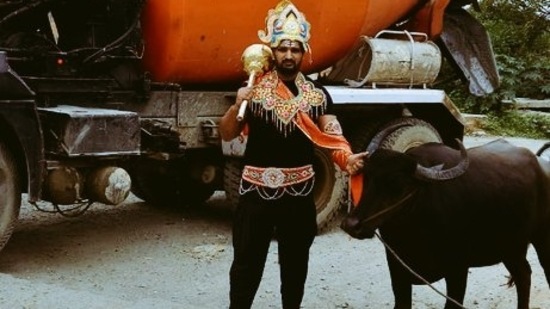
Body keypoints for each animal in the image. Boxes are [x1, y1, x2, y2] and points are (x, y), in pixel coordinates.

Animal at [340, 139, 550, 308]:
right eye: (366, 177)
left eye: (399, 184)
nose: (351, 225)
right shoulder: (397, 268)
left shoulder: (458, 269)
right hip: (511, 248)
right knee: (524, 274)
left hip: (540, 239)